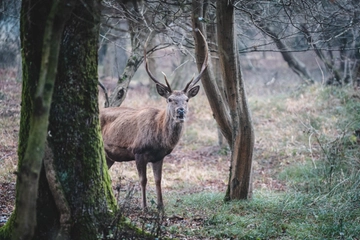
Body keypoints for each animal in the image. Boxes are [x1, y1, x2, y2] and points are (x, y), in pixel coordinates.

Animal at [100, 29, 210, 210]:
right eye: (170, 99)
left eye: (186, 99)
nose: (180, 111)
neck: (159, 138)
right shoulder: (138, 151)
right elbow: (143, 180)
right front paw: (145, 208)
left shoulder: (159, 156)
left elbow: (158, 181)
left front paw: (161, 208)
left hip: (109, 156)